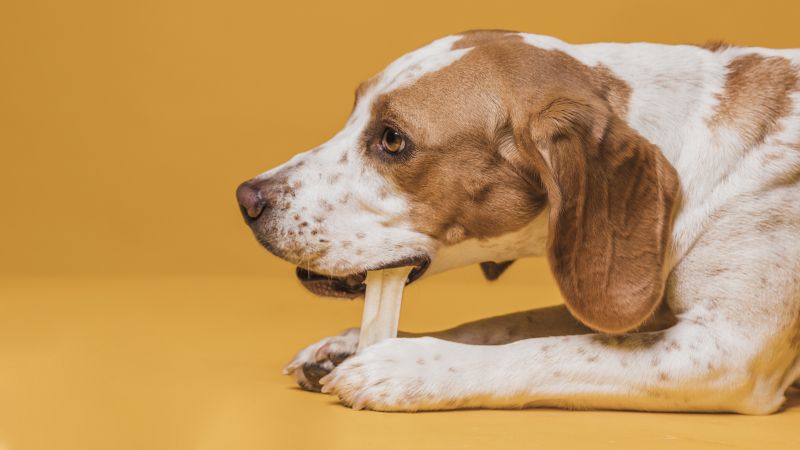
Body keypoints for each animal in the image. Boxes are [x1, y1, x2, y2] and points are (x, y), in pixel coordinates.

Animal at [234, 29, 796, 414]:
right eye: (354, 113)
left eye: (392, 139)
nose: (246, 199)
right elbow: (504, 324)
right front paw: (351, 345)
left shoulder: (725, 349)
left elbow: (549, 351)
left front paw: (404, 365)